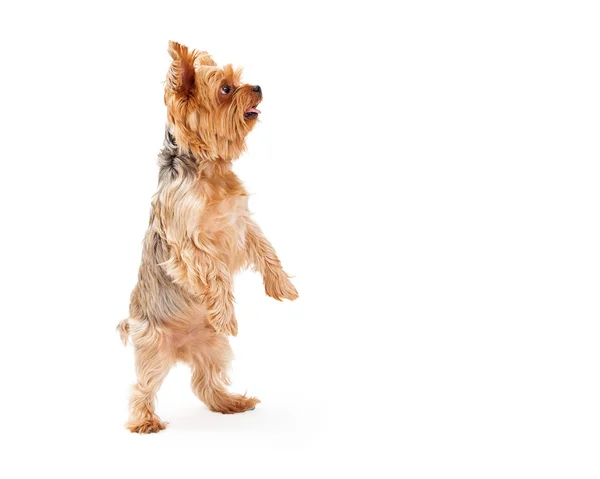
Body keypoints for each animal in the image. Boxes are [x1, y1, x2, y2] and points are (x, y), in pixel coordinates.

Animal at [119, 41, 300, 436]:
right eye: (226, 89)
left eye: (240, 81)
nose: (258, 86)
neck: (209, 168)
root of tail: (181, 349)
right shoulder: (188, 243)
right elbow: (214, 273)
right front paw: (227, 314)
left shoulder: (241, 222)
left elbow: (266, 249)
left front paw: (283, 286)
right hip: (154, 346)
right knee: (143, 386)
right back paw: (145, 421)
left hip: (212, 346)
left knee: (205, 381)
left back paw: (231, 403)